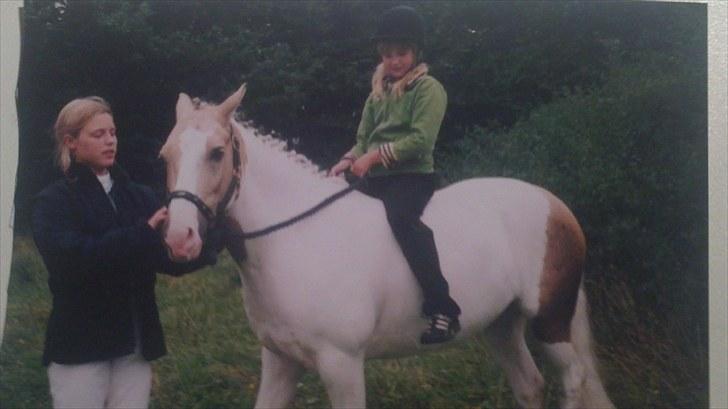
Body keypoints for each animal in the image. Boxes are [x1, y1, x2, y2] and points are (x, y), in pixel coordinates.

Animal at [160, 85, 614, 409]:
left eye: (217, 153)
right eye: (166, 155)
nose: (180, 238)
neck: (295, 238)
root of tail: (555, 205)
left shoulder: (341, 363)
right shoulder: (279, 361)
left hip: (550, 321)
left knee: (573, 379)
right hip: (501, 325)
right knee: (530, 386)